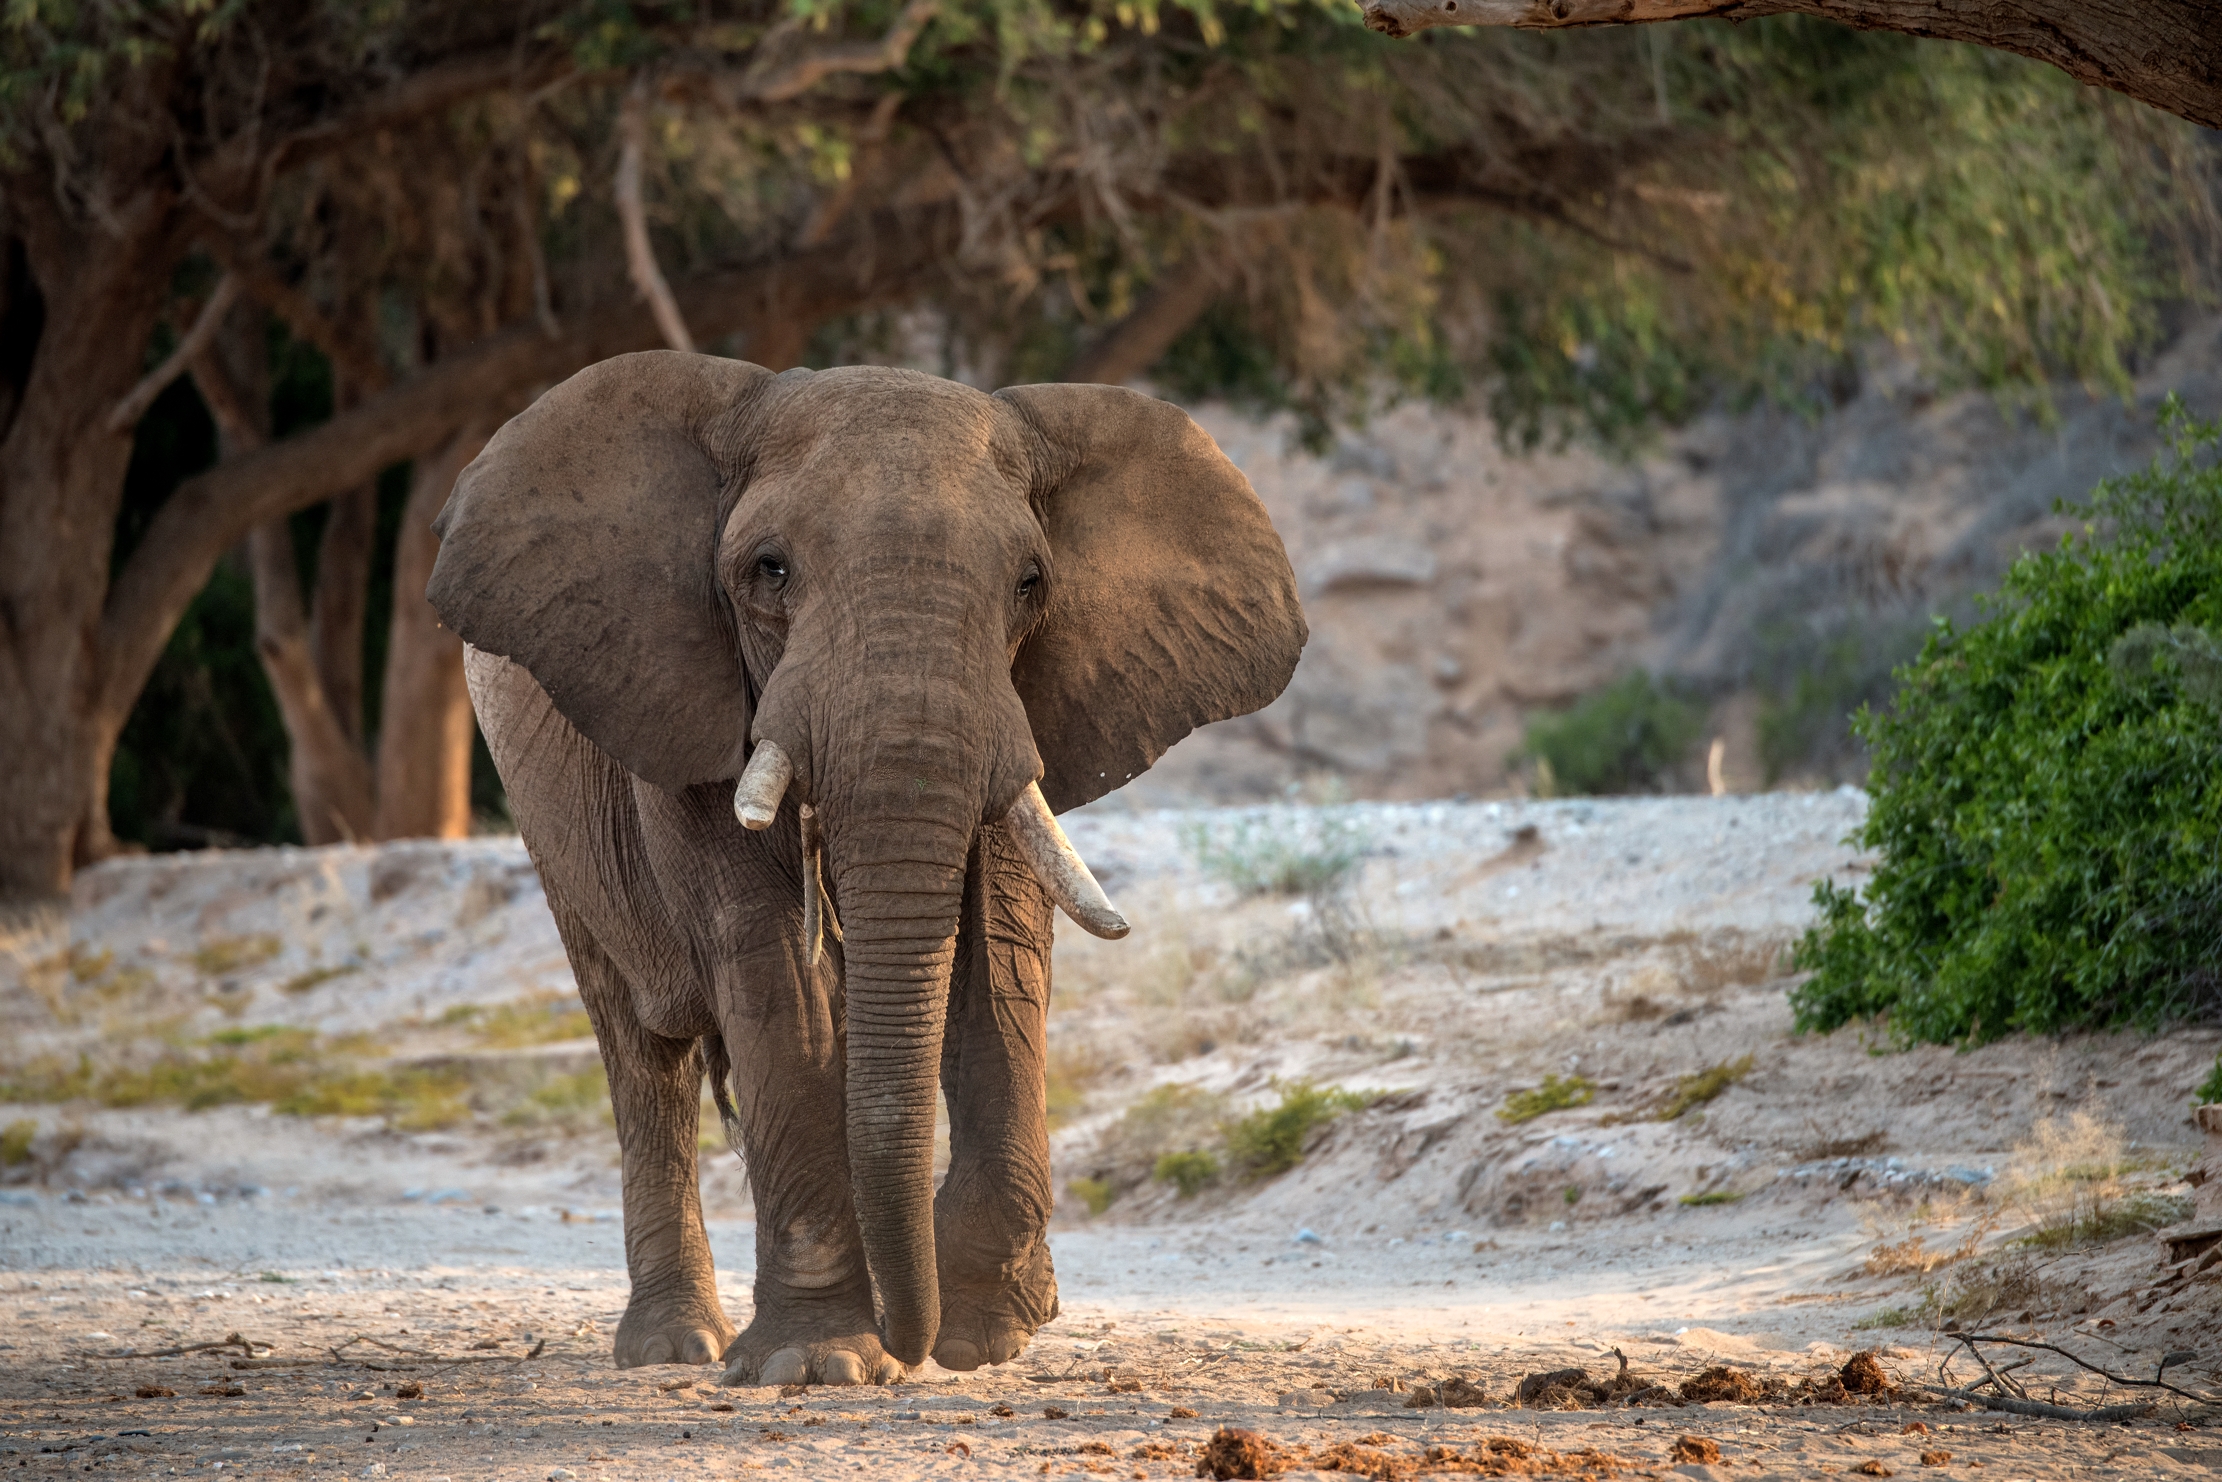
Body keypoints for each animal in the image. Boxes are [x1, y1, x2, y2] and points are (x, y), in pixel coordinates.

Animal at [426, 352, 1305, 1386]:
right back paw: (674, 1348)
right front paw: (819, 1364)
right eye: (768, 571)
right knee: (644, 1050)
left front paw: (984, 1337)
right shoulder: (691, 698)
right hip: (551, 823)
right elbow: (773, 968)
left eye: (1030, 582)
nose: (914, 1343)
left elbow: (998, 952)